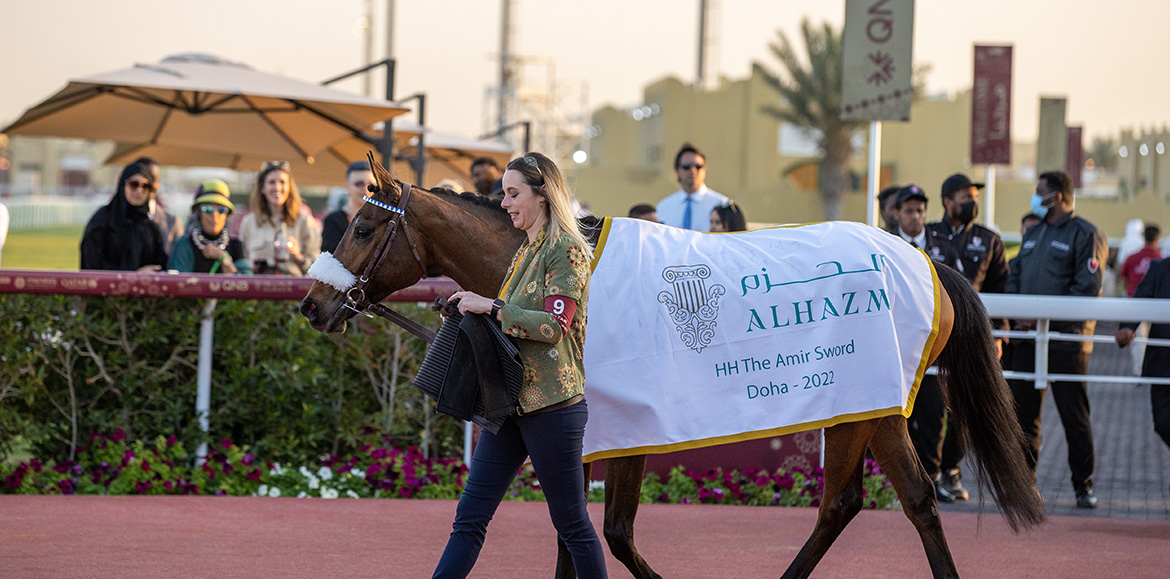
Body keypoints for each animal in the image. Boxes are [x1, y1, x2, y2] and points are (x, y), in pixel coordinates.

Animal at [299, 161, 1043, 577]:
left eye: (362, 227)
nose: (312, 303)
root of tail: (928, 261)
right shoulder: (585, 436)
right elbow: (579, 535)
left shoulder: (619, 431)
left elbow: (608, 534)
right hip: (877, 405)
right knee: (907, 501)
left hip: (859, 404)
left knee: (846, 501)